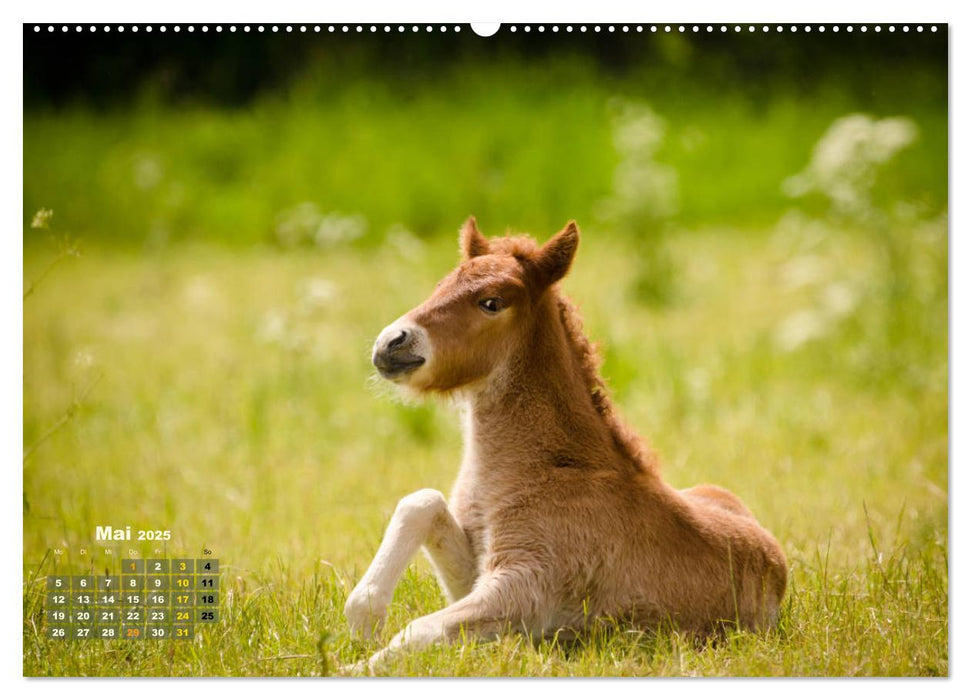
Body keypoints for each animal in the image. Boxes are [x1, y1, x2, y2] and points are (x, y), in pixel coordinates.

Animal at [346, 217, 784, 668]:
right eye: (440, 285)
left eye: (491, 302)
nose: (391, 343)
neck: (549, 467)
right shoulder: (476, 576)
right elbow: (422, 501)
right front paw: (365, 622)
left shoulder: (525, 586)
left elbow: (419, 629)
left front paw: (351, 665)